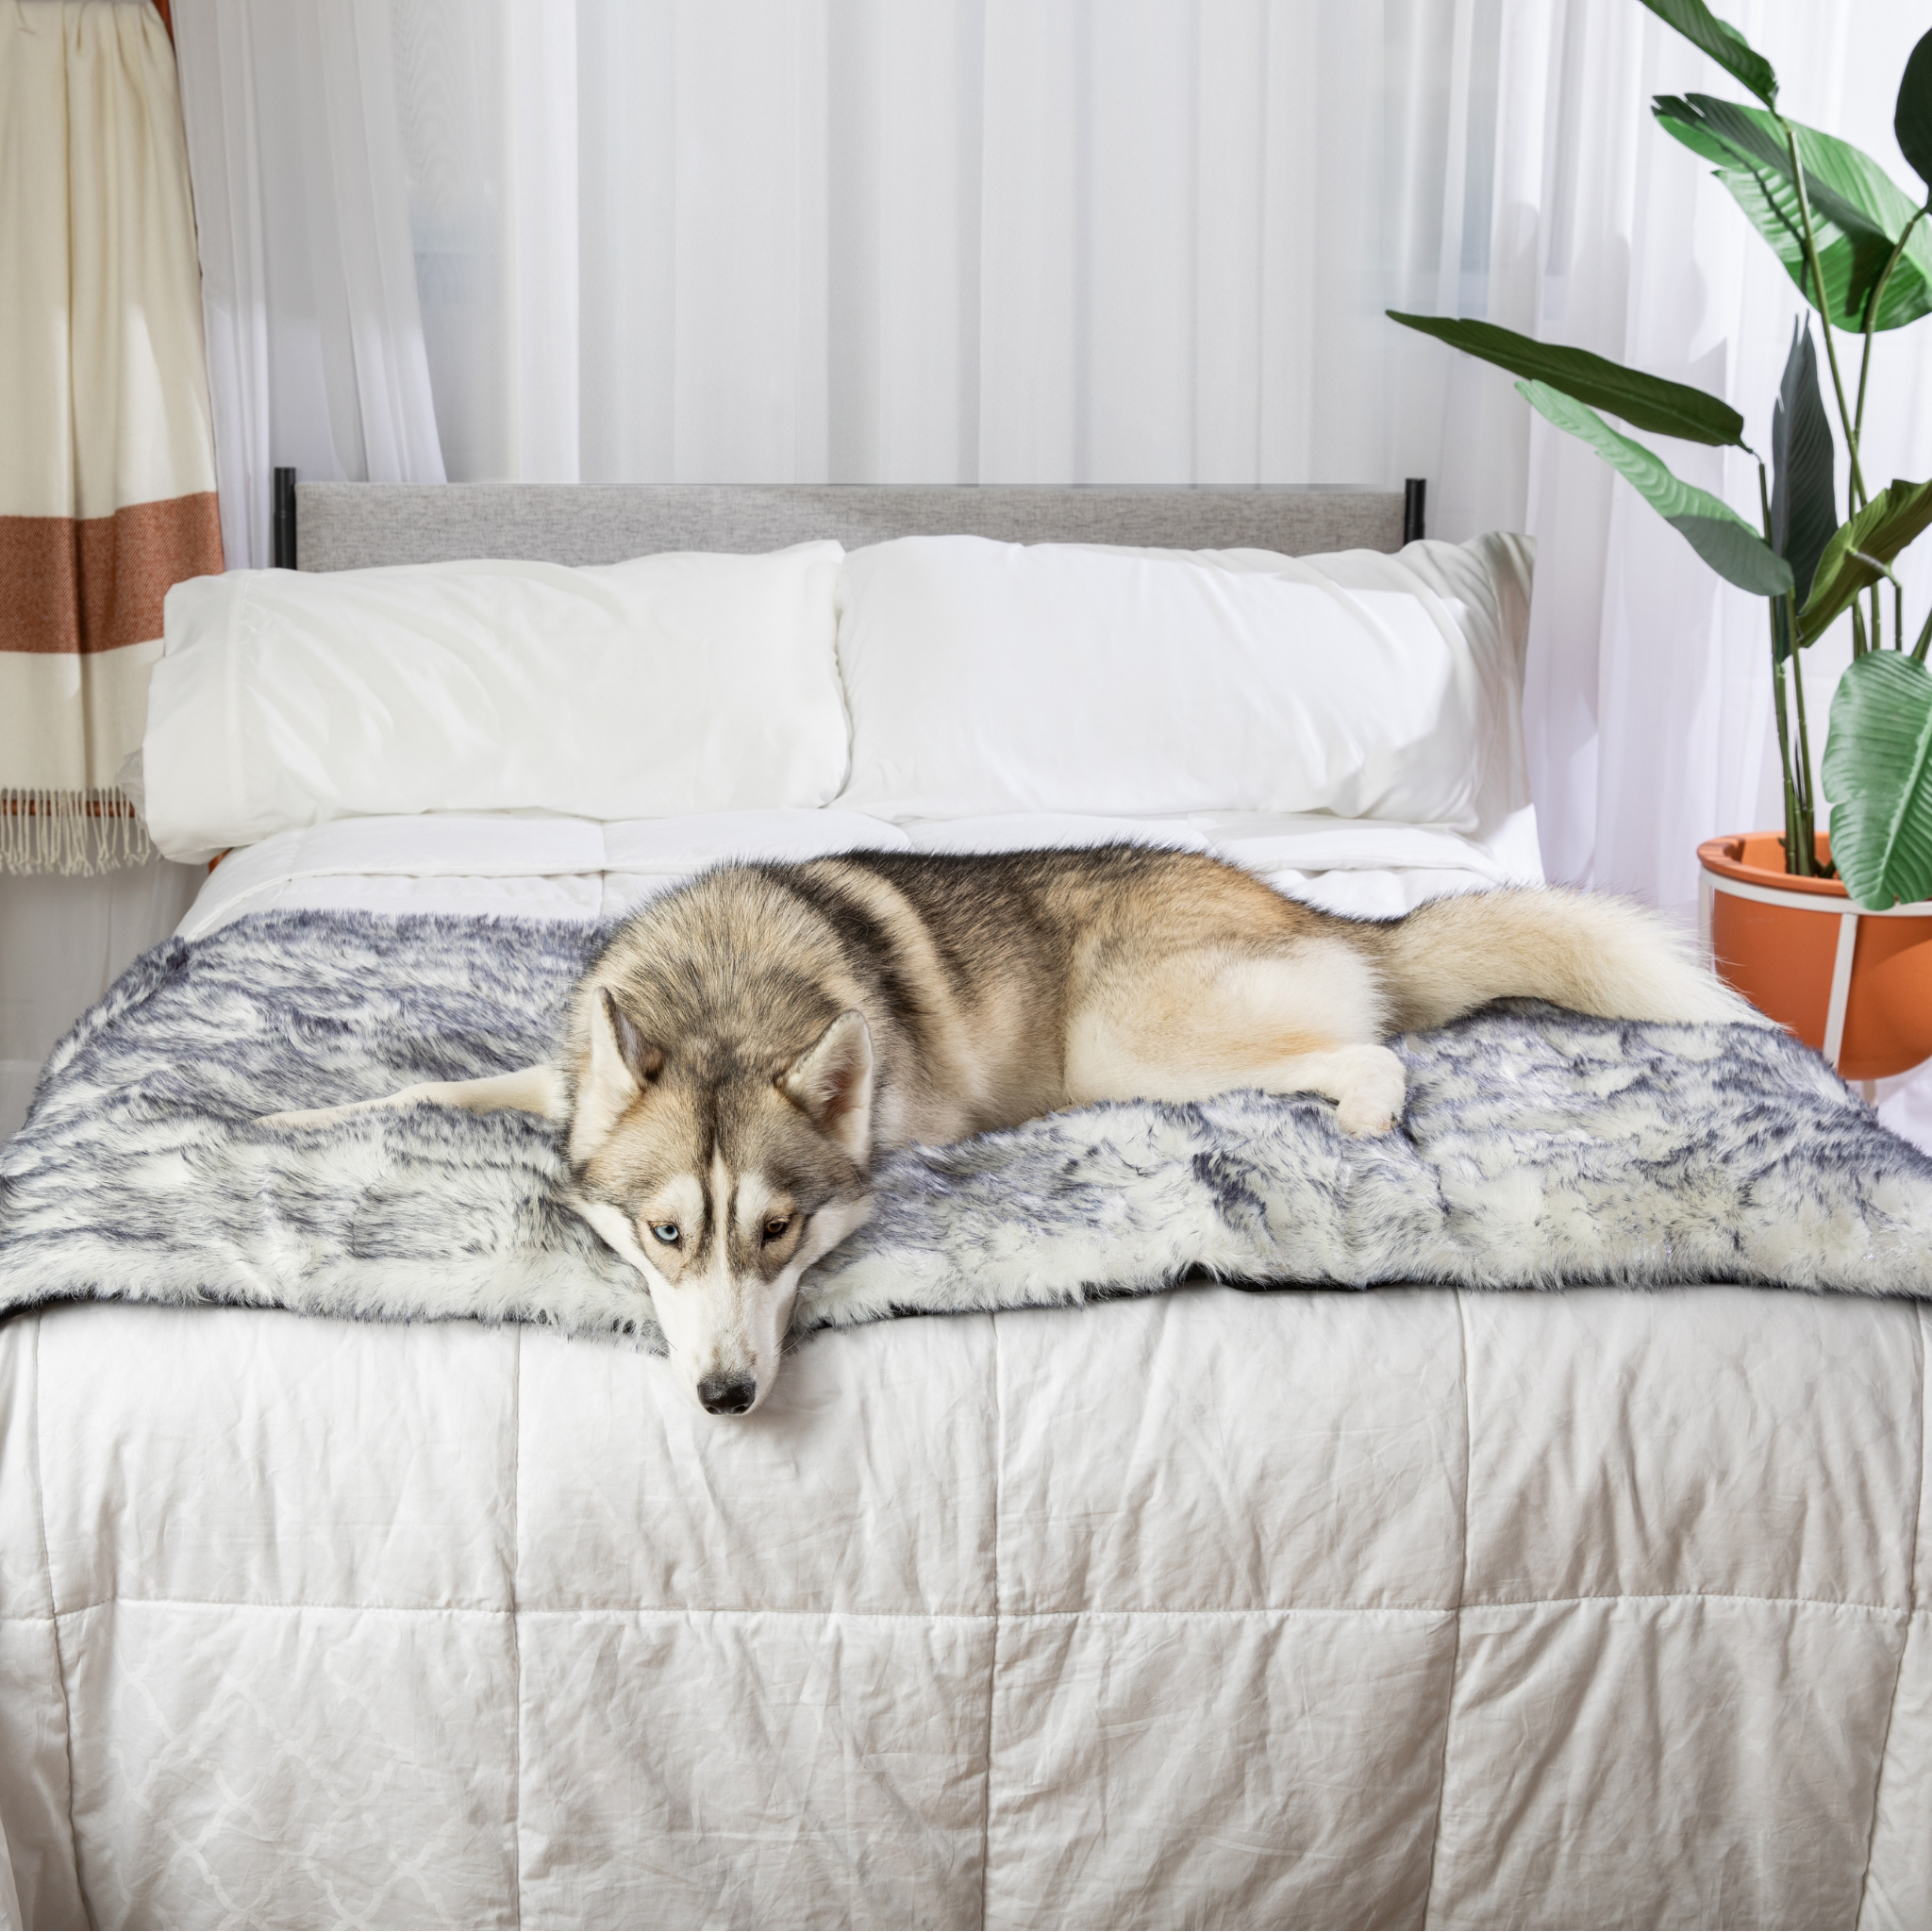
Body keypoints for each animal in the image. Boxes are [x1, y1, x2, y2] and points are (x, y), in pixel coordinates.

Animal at [263, 845, 1756, 1416]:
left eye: (780, 1229)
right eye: (667, 1231)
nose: (728, 1397)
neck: (731, 989)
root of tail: (1303, 904)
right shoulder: (559, 1079)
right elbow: (423, 1095)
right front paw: (285, 1110)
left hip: (1128, 1039)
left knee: (1373, 1047)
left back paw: (1363, 1113)